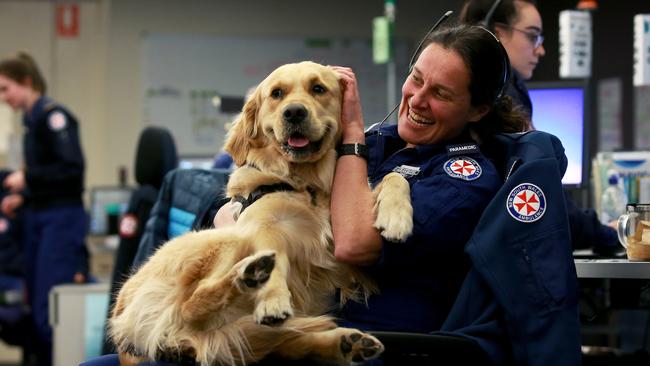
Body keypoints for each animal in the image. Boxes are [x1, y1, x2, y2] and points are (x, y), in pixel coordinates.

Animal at [106, 61, 410, 364]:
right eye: (276, 94)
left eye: (318, 88)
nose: (294, 112)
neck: (306, 184)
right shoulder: (264, 226)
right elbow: (274, 255)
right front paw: (273, 298)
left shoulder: (348, 246)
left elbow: (395, 178)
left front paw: (397, 220)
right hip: (221, 240)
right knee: (190, 304)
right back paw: (248, 275)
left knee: (288, 342)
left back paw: (348, 343)